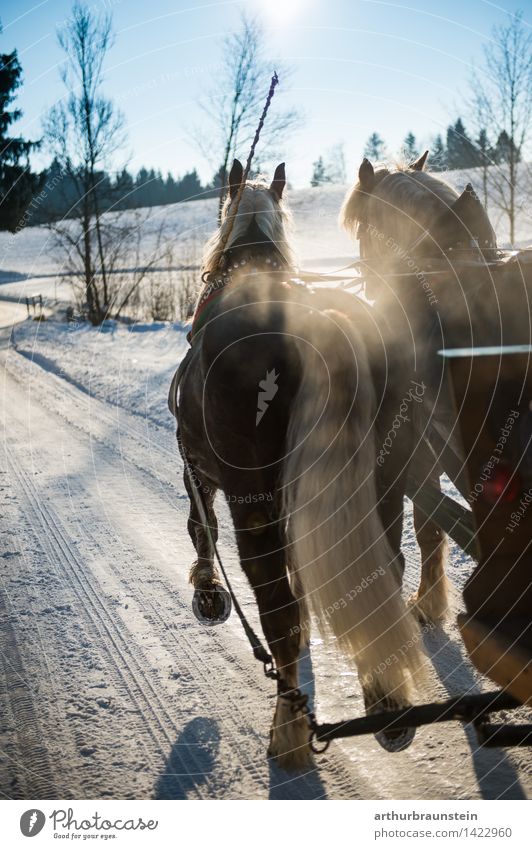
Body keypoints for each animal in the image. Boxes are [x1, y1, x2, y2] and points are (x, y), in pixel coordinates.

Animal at [172, 161, 426, 768]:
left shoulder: (196, 467)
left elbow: (200, 527)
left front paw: (207, 594)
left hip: (252, 499)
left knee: (276, 606)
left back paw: (288, 725)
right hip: (385, 480)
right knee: (385, 567)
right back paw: (386, 706)